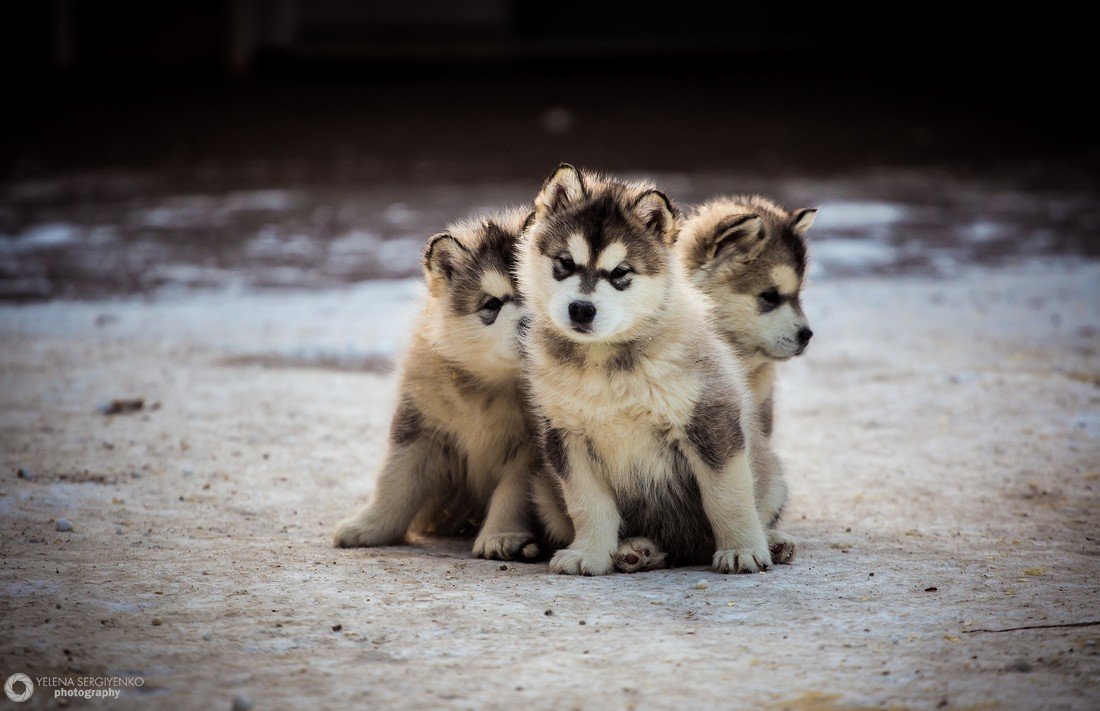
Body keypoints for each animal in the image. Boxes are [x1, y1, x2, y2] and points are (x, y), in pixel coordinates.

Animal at [334, 205, 541, 563]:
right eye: (492, 304)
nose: (530, 323)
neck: (491, 385)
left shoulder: (529, 447)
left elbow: (513, 492)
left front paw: (501, 535)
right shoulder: (419, 427)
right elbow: (396, 480)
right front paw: (369, 526)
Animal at [514, 163, 774, 576]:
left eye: (621, 272)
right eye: (565, 264)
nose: (581, 310)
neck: (603, 360)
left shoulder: (709, 421)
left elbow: (727, 496)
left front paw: (741, 548)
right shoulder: (566, 435)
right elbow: (588, 504)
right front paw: (589, 553)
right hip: (542, 486)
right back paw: (638, 550)